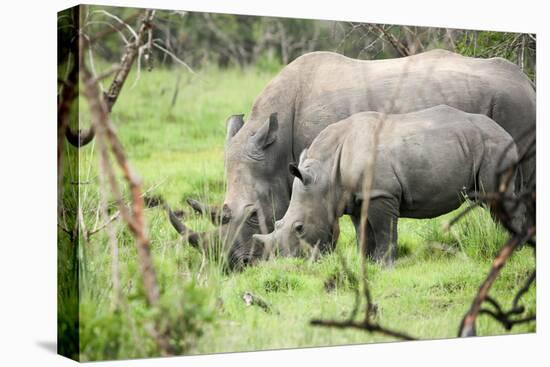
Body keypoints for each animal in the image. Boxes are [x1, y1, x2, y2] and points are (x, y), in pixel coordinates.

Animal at [253, 105, 520, 266]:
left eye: (299, 228)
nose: (288, 263)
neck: (325, 174)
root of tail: (507, 134)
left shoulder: (381, 193)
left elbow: (384, 231)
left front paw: (384, 265)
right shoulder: (356, 197)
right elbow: (364, 232)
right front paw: (367, 263)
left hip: (495, 147)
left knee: (497, 201)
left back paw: (513, 249)